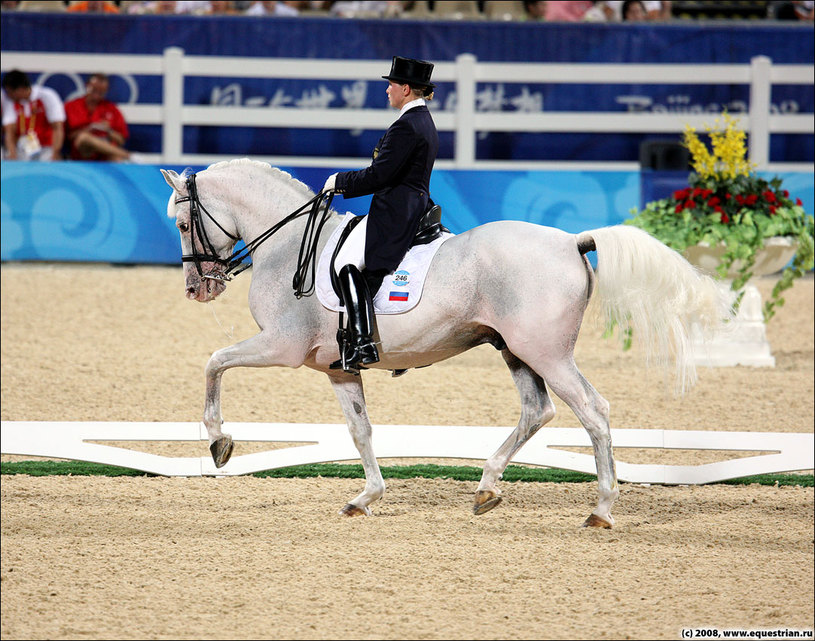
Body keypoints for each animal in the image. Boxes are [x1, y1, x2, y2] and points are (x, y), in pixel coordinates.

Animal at [161, 158, 732, 528]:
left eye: (184, 223)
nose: (195, 288)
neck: (286, 245)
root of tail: (572, 240)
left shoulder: (282, 346)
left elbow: (214, 362)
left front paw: (219, 443)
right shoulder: (339, 367)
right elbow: (360, 431)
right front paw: (366, 498)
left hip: (547, 354)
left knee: (593, 411)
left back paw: (601, 509)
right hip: (515, 351)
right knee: (538, 411)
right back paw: (486, 489)